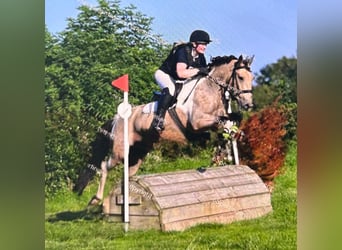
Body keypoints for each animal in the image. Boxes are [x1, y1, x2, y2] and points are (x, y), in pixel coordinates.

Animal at [73, 54, 254, 205]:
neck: (210, 89)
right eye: (240, 77)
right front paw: (222, 150)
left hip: (137, 155)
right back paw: (96, 199)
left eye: (252, 78)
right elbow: (222, 123)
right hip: (120, 151)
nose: (248, 105)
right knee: (104, 166)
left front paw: (224, 150)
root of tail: (117, 118)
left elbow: (231, 121)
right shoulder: (197, 123)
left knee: (126, 175)